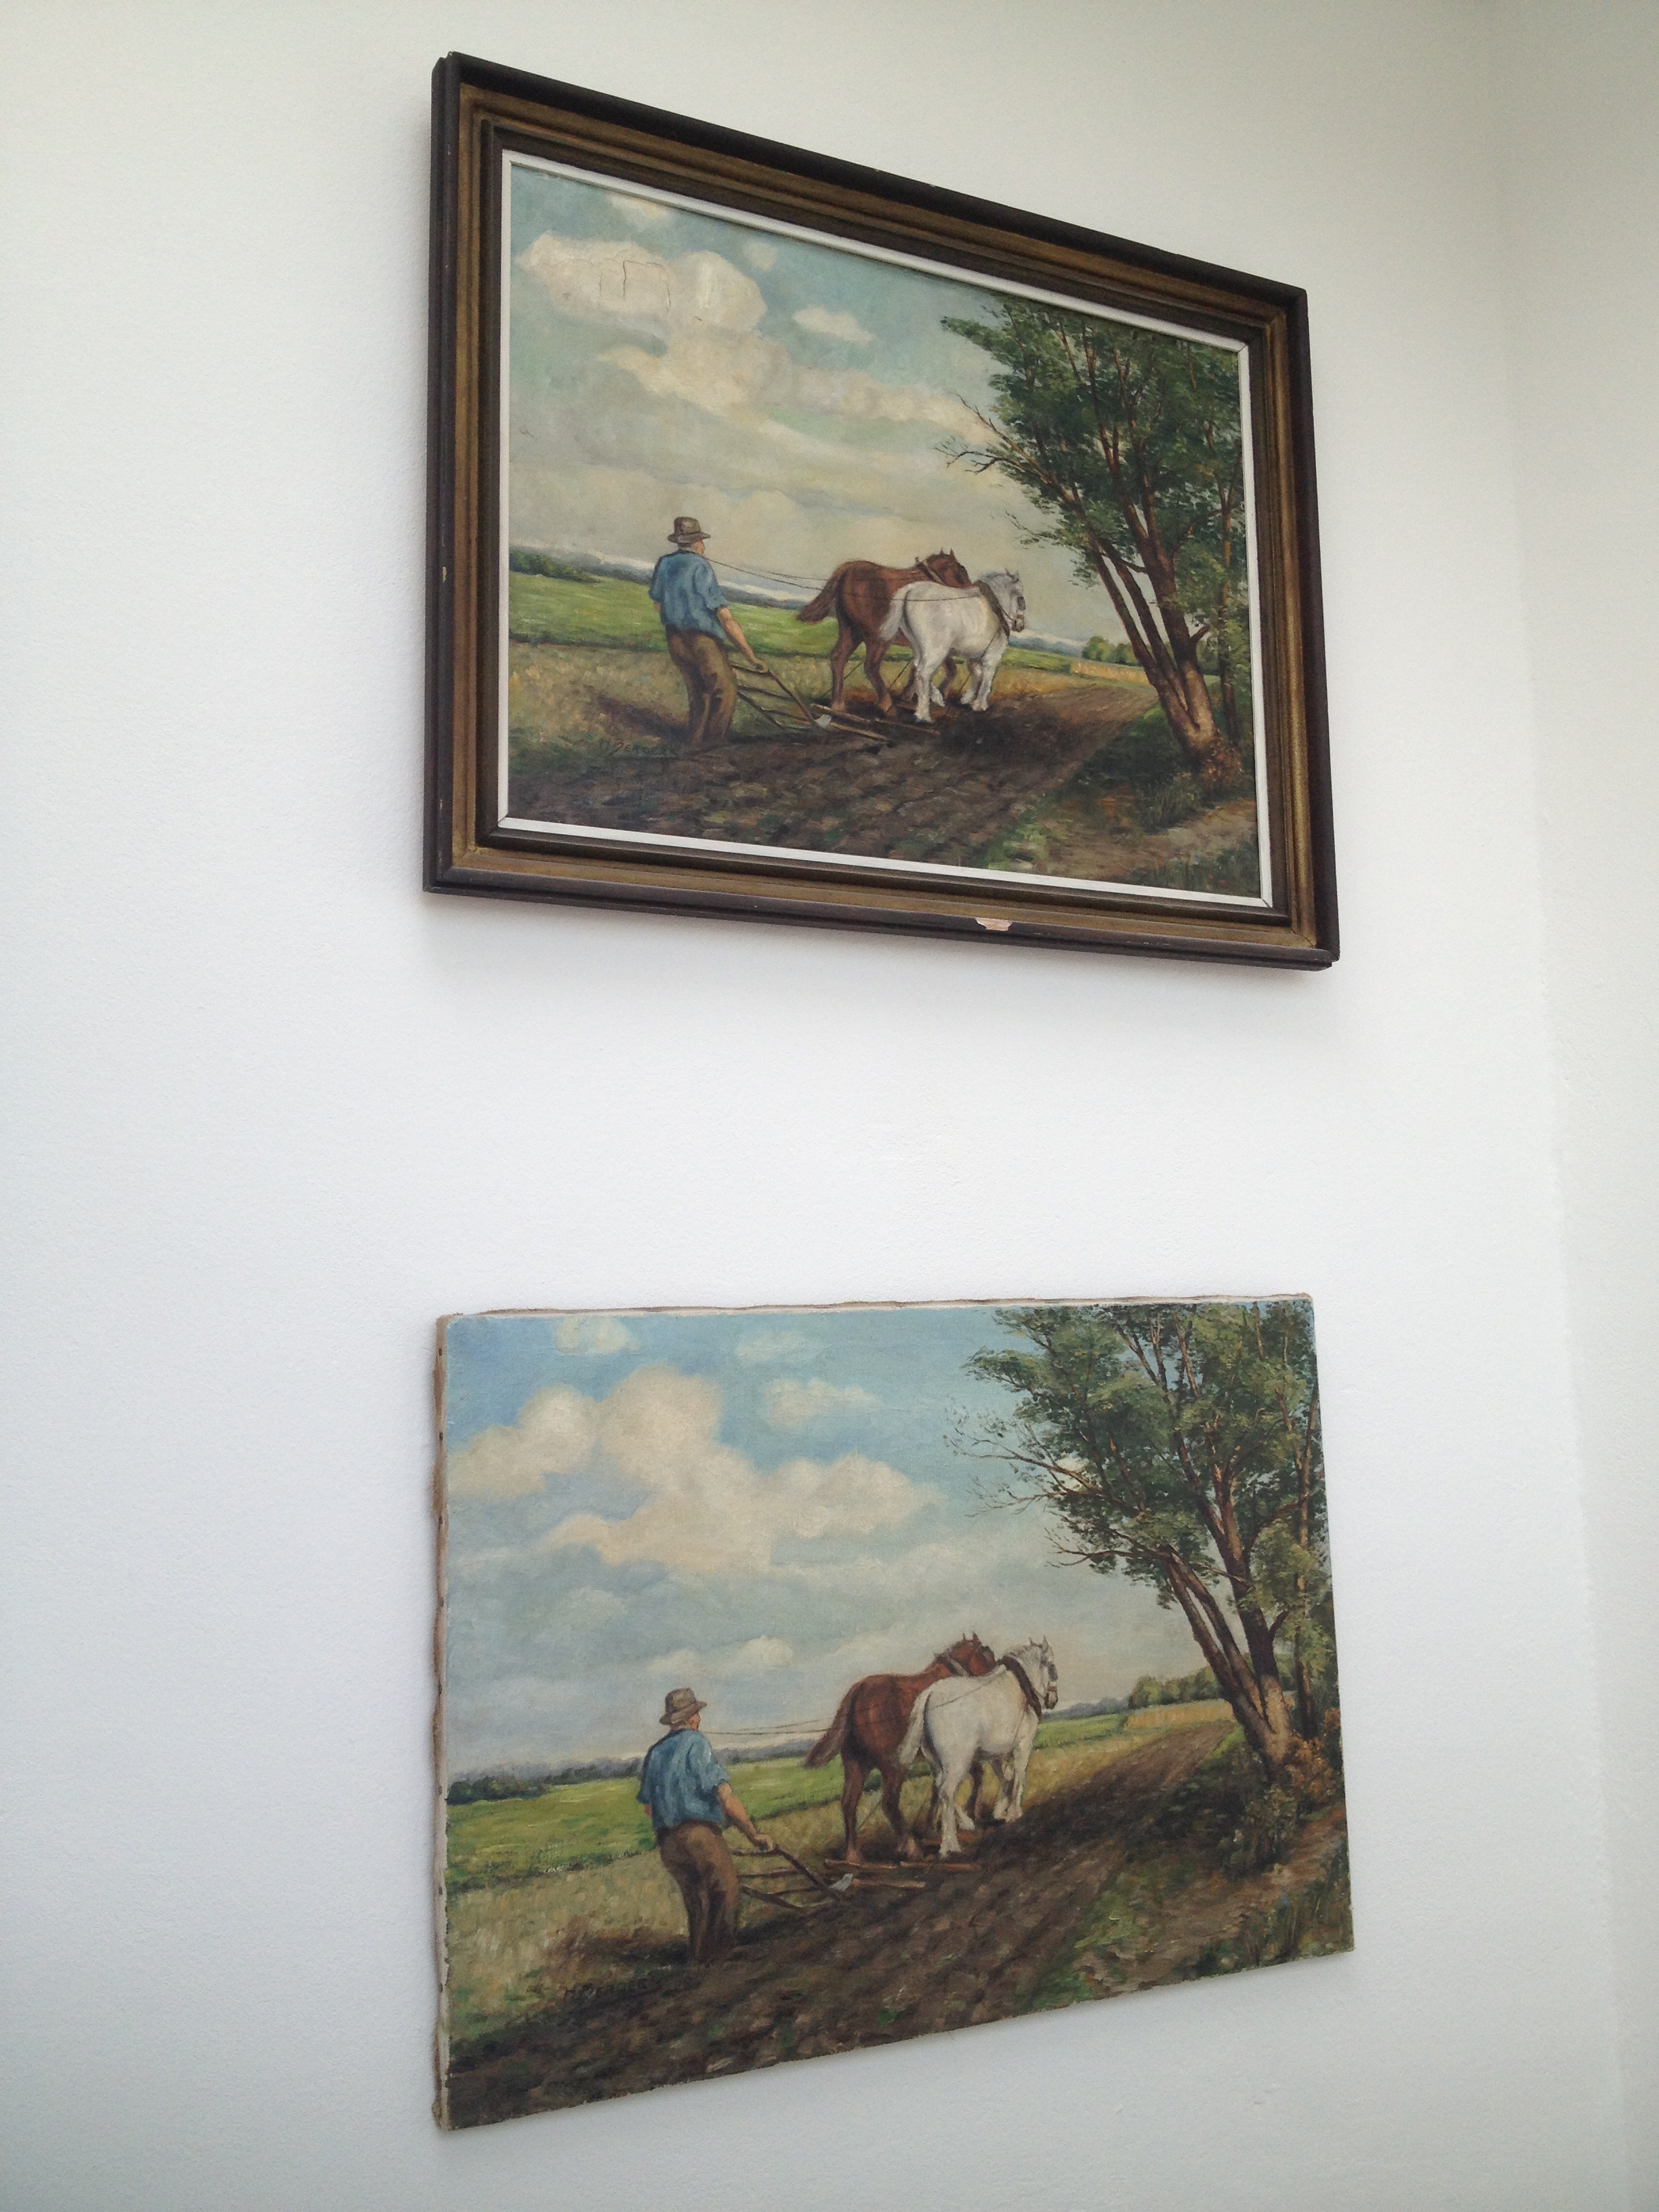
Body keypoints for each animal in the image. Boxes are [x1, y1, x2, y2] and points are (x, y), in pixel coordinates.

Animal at [796, 550, 971, 717]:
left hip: (851, 631)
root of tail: (847, 569)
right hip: (877, 639)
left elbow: (923, 669)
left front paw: (909, 696)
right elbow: (948, 669)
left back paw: (838, 705)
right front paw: (938, 694)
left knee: (838, 658)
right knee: (870, 667)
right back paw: (887, 706)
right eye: (960, 571)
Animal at [803, 1631, 996, 1863]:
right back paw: (910, 1847)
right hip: (892, 1766)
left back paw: (853, 1854)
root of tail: (856, 1692)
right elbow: (975, 1775)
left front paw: (932, 1826)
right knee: (889, 1802)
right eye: (987, 1653)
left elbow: (937, 1788)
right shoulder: (957, 1750)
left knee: (849, 1803)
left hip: (857, 1764)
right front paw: (970, 1814)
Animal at [880, 572, 1026, 724]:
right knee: (923, 673)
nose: (1020, 625)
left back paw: (936, 698)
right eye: (1021, 599)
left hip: (917, 646)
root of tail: (910, 589)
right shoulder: (992, 657)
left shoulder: (974, 657)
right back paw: (924, 714)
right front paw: (980, 705)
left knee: (917, 667)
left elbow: (977, 674)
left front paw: (967, 699)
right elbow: (987, 678)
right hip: (936, 651)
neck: (994, 611)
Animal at [897, 1637, 1058, 1857]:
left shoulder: (994, 1753)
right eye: (1051, 1666)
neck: (1018, 1687)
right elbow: (1019, 1774)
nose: (1053, 1700)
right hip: (958, 1762)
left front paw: (1000, 1811)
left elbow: (1005, 1776)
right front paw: (1014, 1812)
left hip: (937, 1762)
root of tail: (929, 1694)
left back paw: (963, 1825)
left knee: (940, 1787)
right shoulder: (1023, 1744)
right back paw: (950, 1845)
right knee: (947, 1791)